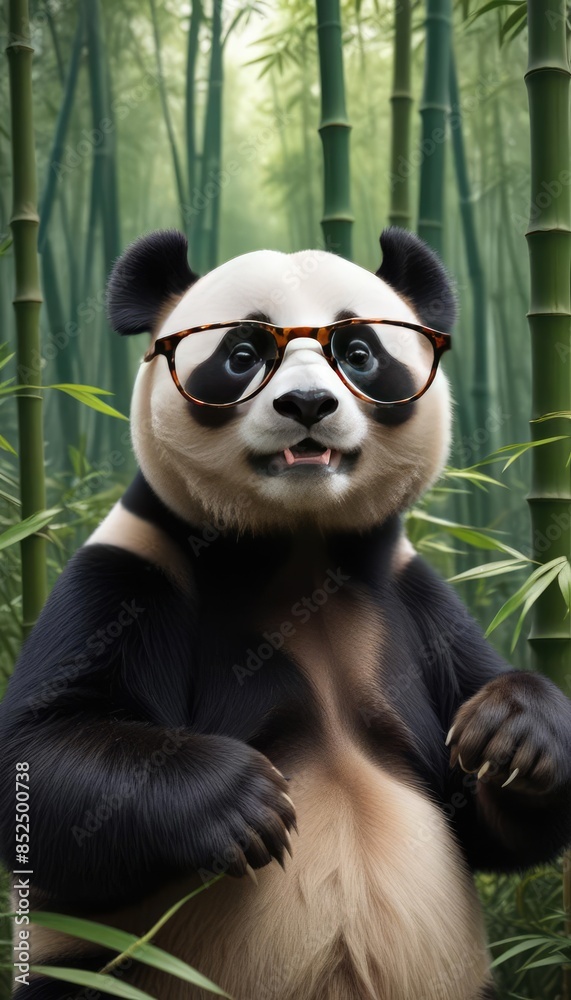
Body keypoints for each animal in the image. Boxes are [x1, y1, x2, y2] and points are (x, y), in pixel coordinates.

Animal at [2, 227, 571, 1000]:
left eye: (359, 352)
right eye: (242, 355)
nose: (307, 404)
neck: (298, 548)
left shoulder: (412, 599)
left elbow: (490, 820)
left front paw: (511, 735)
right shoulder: (134, 572)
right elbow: (40, 757)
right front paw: (242, 802)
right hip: (109, 972)